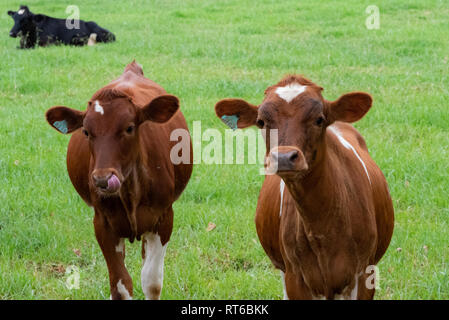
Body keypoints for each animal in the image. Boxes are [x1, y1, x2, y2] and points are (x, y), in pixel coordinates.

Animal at [44, 62, 192, 300]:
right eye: (86, 132)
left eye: (129, 128)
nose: (103, 179)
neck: (131, 191)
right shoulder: (103, 224)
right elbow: (121, 285)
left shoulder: (164, 218)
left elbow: (152, 281)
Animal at [215, 75, 394, 300]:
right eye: (261, 121)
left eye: (319, 119)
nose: (283, 157)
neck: (321, 227)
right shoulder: (294, 276)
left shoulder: (363, 274)